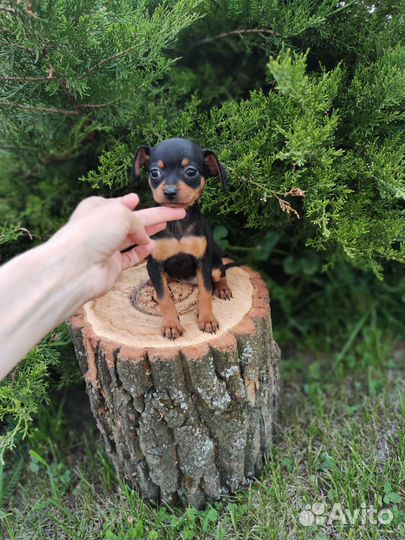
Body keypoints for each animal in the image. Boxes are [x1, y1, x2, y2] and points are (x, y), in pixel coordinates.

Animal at [133, 136, 232, 338]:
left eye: (191, 171)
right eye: (154, 172)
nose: (170, 192)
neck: (177, 223)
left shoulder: (203, 262)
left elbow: (205, 292)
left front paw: (207, 319)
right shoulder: (154, 264)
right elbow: (164, 297)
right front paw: (171, 325)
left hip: (216, 263)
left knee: (219, 276)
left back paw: (223, 288)